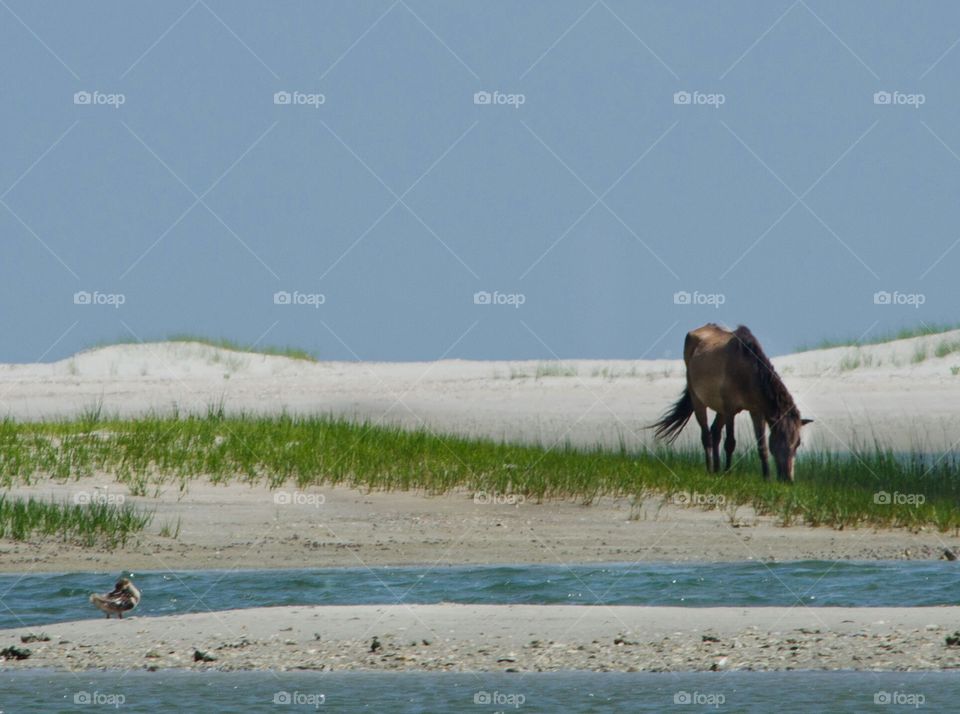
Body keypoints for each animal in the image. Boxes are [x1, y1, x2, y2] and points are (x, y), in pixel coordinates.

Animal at [650, 323, 812, 482]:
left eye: (797, 443)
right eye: (780, 440)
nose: (788, 479)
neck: (748, 373)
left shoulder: (757, 412)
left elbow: (762, 445)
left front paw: (766, 477)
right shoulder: (730, 410)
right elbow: (730, 443)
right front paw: (728, 472)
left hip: (719, 409)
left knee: (715, 432)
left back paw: (716, 468)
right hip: (698, 401)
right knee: (706, 435)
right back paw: (710, 469)